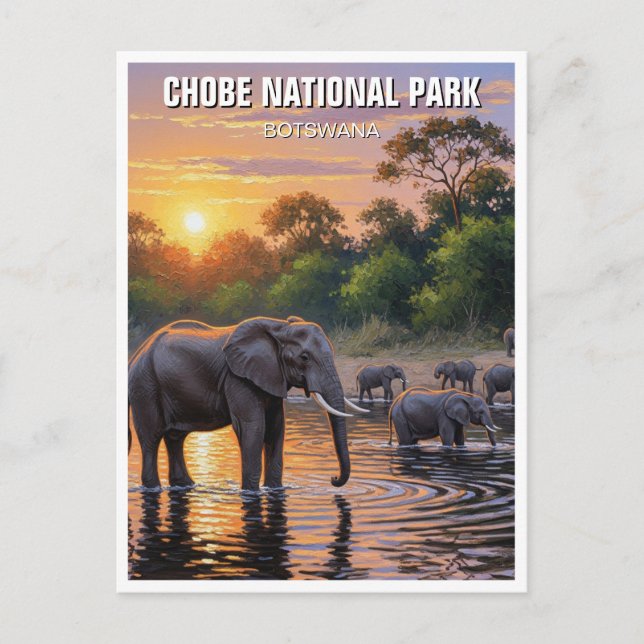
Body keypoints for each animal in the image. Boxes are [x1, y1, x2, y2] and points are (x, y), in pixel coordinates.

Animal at [128, 316, 367, 491]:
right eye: (304, 358)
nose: (333, 478)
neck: (280, 327)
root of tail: (136, 354)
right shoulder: (237, 378)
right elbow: (254, 428)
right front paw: (251, 492)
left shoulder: (272, 377)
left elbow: (275, 429)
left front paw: (274, 490)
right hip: (145, 387)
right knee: (151, 439)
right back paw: (153, 488)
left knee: (175, 438)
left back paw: (186, 486)